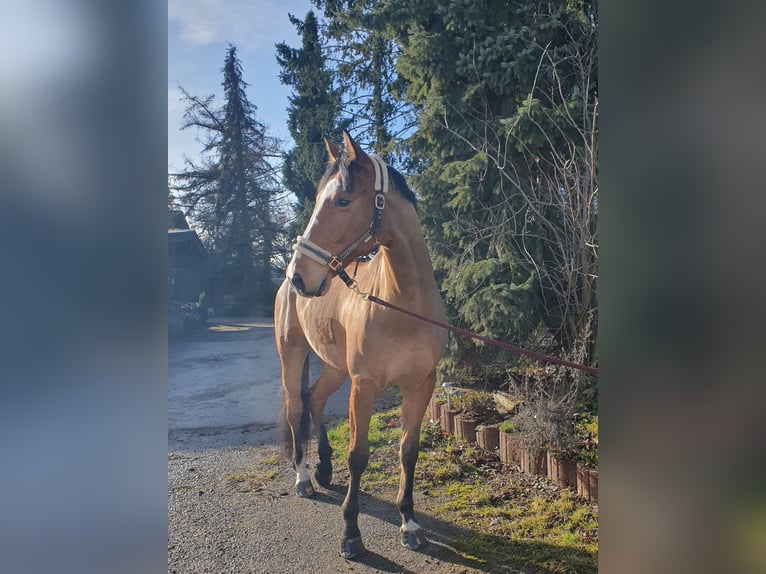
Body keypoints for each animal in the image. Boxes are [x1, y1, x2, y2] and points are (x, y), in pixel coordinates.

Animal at [274, 131, 447, 559]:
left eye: (342, 200)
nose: (300, 276)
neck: (402, 303)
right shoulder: (364, 386)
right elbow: (358, 456)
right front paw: (351, 535)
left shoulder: (420, 385)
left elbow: (408, 450)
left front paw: (409, 523)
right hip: (293, 356)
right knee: (296, 406)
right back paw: (303, 478)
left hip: (335, 368)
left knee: (315, 399)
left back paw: (322, 468)